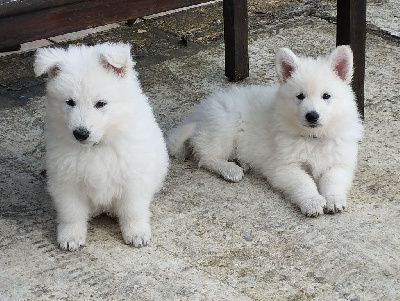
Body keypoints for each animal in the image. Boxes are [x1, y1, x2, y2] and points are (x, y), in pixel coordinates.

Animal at [32, 41, 167, 248]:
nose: (80, 133)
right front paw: (71, 236)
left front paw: (136, 232)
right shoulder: (66, 180)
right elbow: (71, 212)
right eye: (70, 102)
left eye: (101, 103)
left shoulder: (133, 177)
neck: (95, 147)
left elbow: (132, 209)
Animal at [167, 45, 364, 216]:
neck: (313, 137)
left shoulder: (340, 163)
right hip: (225, 125)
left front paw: (334, 199)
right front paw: (313, 201)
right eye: (300, 96)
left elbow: (333, 180)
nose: (312, 116)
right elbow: (304, 182)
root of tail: (198, 113)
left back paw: (242, 162)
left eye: (326, 96)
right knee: (206, 157)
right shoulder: (284, 167)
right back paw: (230, 169)